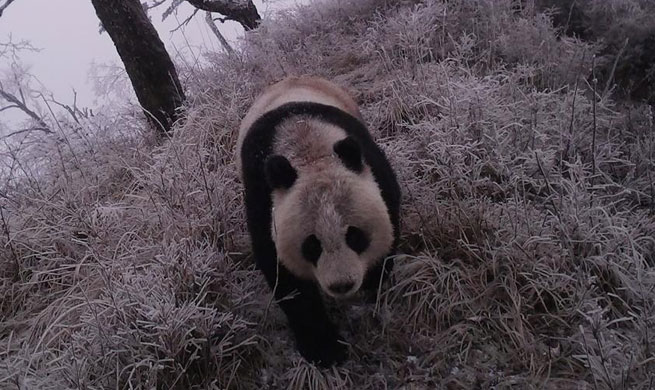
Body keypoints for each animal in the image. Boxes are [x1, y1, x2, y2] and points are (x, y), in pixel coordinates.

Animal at [236, 75, 400, 366]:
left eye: (354, 235)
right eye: (312, 244)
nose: (342, 284)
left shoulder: (374, 169)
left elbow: (390, 220)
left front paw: (374, 282)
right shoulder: (262, 198)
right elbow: (284, 274)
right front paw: (325, 350)